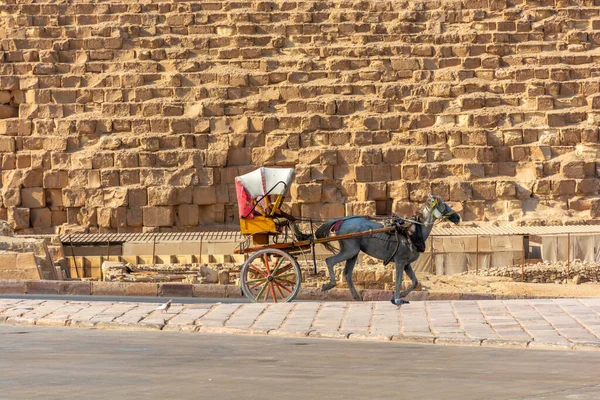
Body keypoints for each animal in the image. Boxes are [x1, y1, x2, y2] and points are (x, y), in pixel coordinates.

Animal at [316, 195, 462, 304]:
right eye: (443, 204)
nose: (457, 217)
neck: (412, 231)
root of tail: (341, 220)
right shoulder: (400, 261)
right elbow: (398, 281)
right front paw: (397, 299)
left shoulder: (406, 263)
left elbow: (415, 282)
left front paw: (402, 295)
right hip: (349, 250)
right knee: (330, 261)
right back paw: (328, 285)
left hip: (353, 253)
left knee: (347, 273)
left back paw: (356, 296)